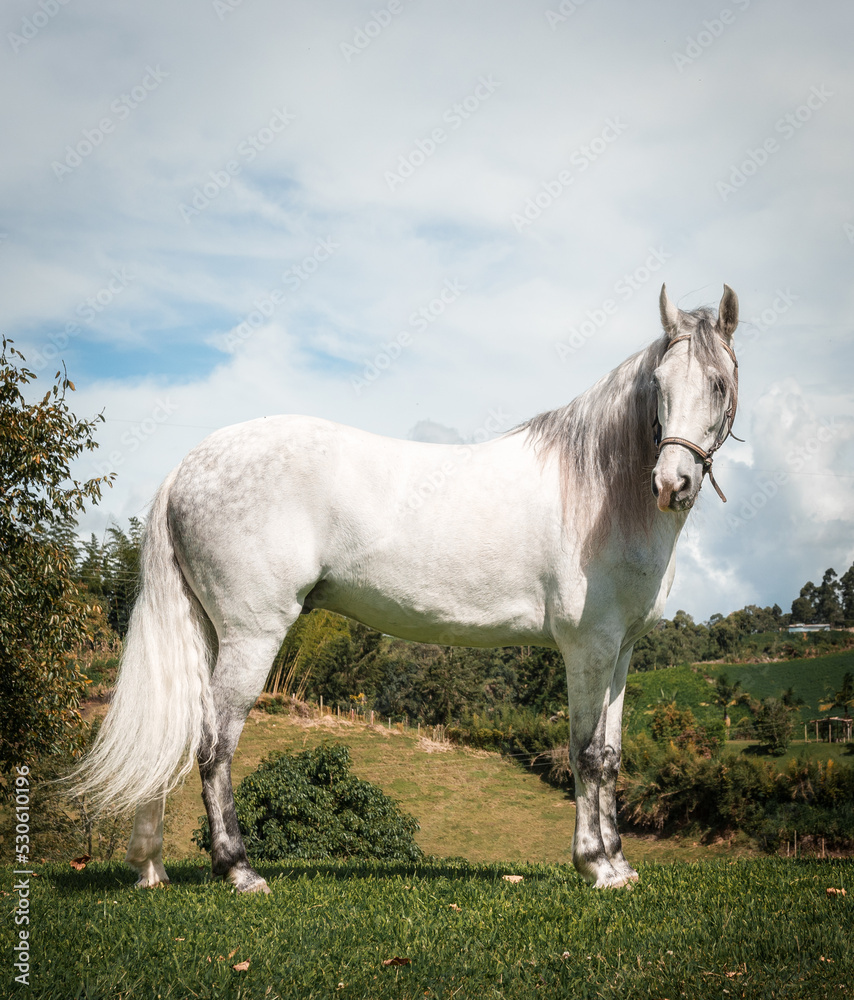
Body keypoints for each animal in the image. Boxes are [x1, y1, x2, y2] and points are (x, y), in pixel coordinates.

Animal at [73, 283, 740, 891]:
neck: (601, 492)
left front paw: (620, 864)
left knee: (180, 733)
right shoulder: (587, 649)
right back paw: (238, 870)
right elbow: (585, 755)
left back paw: (151, 868)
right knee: (214, 745)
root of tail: (186, 467)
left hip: (206, 632)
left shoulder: (620, 653)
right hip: (250, 635)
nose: (671, 484)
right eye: (660, 383)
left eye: (718, 384)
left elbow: (611, 756)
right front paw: (596, 865)